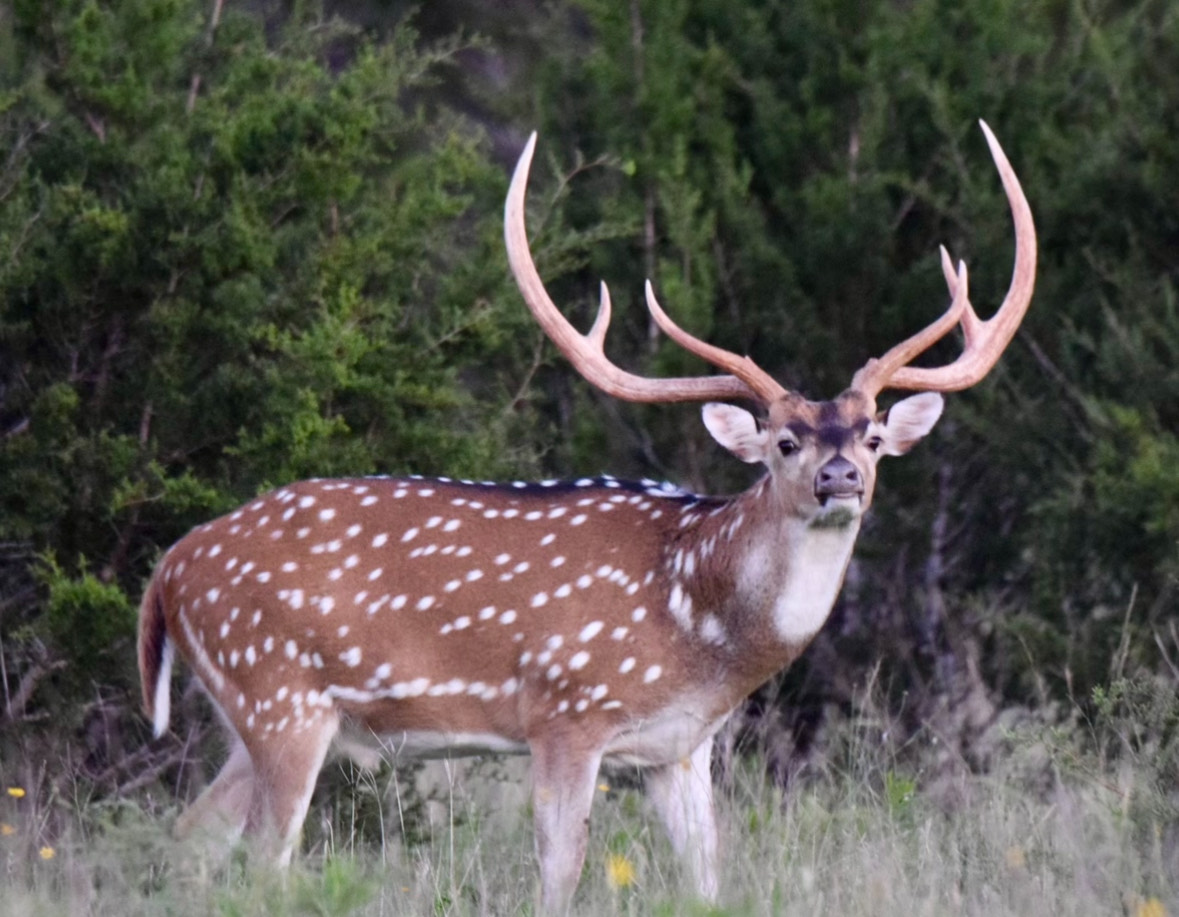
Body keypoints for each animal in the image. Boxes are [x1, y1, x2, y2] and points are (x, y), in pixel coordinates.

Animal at [142, 119, 1037, 905]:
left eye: (876, 435)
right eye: (784, 442)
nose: (841, 475)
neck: (696, 622)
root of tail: (168, 569)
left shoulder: (680, 748)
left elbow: (707, 879)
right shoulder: (565, 710)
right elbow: (561, 868)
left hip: (249, 712)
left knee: (190, 837)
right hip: (277, 689)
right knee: (263, 858)